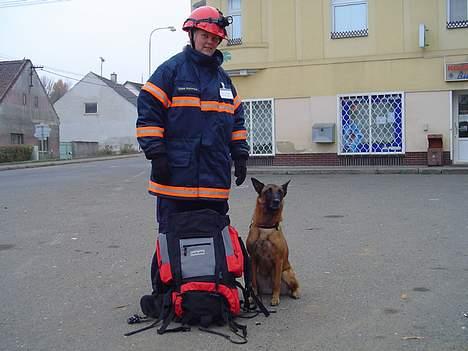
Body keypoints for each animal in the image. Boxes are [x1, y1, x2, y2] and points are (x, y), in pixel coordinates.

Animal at [245, 177, 300, 306]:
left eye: (280, 192)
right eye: (268, 191)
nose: (276, 201)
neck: (266, 226)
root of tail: (267, 290)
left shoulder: (278, 260)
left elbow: (276, 283)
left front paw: (275, 298)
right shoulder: (253, 258)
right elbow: (254, 282)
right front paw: (253, 297)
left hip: (286, 273)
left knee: (294, 286)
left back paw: (294, 293)